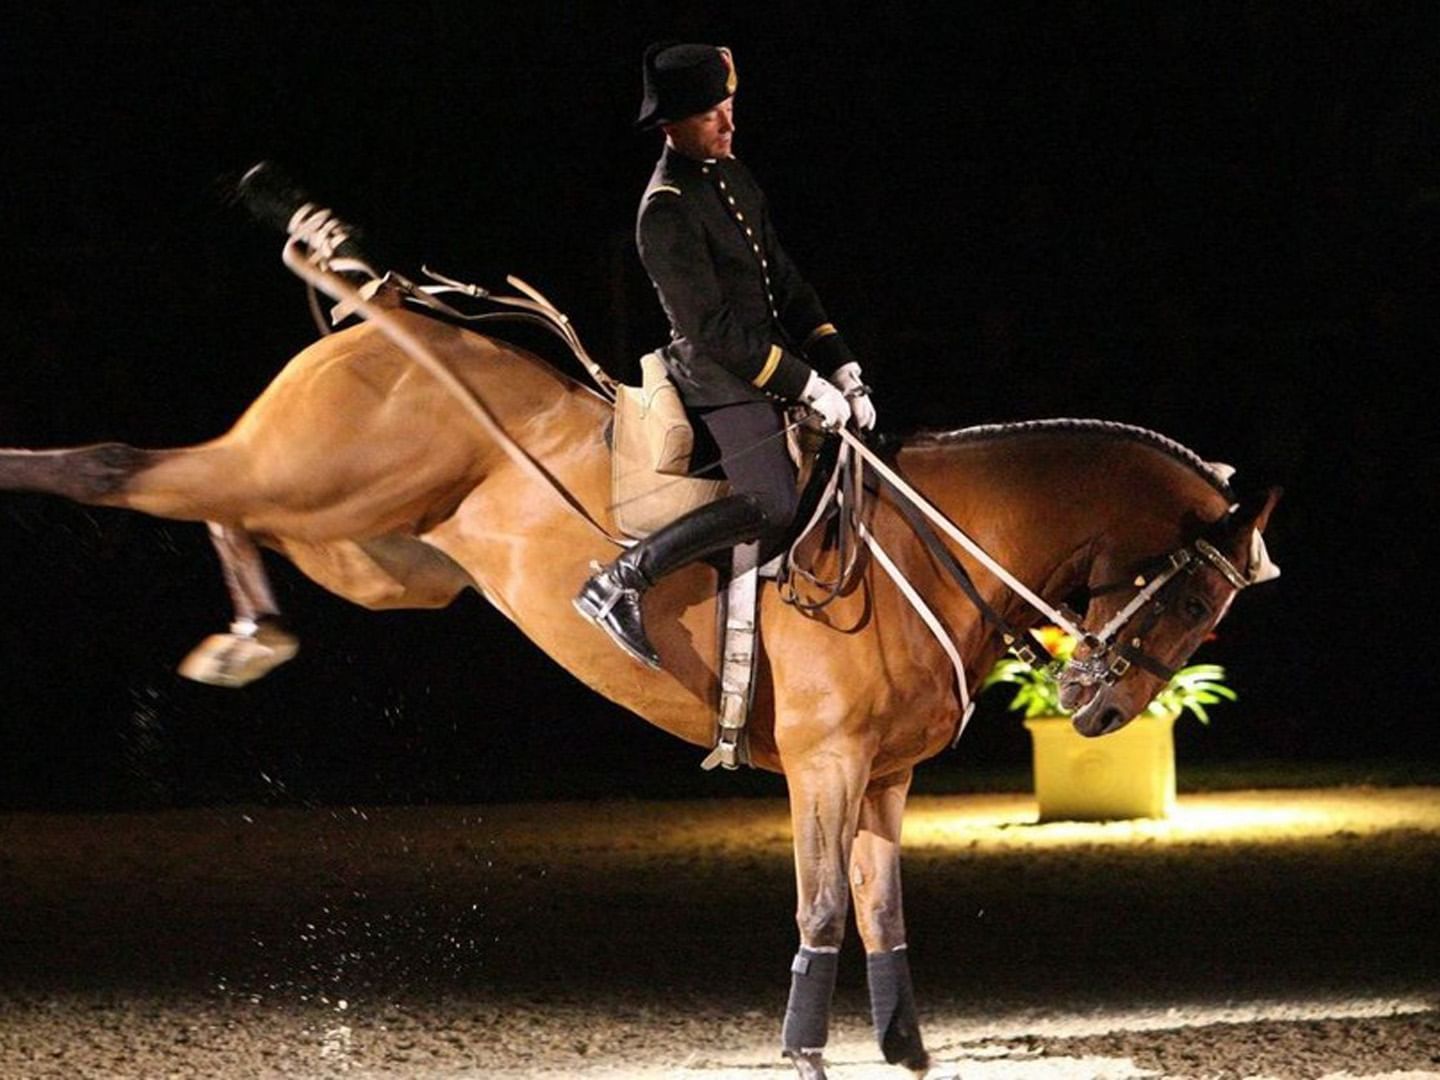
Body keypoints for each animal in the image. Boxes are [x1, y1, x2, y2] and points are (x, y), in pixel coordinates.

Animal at [0, 305, 1284, 1080]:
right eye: (1193, 598)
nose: (1101, 711)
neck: (933, 544)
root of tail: (392, 321)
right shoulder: (825, 767)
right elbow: (825, 909)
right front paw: (805, 1052)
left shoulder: (885, 778)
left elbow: (883, 915)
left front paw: (908, 1053)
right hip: (321, 484)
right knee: (133, 468)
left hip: (370, 553)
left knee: (221, 506)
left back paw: (249, 637)